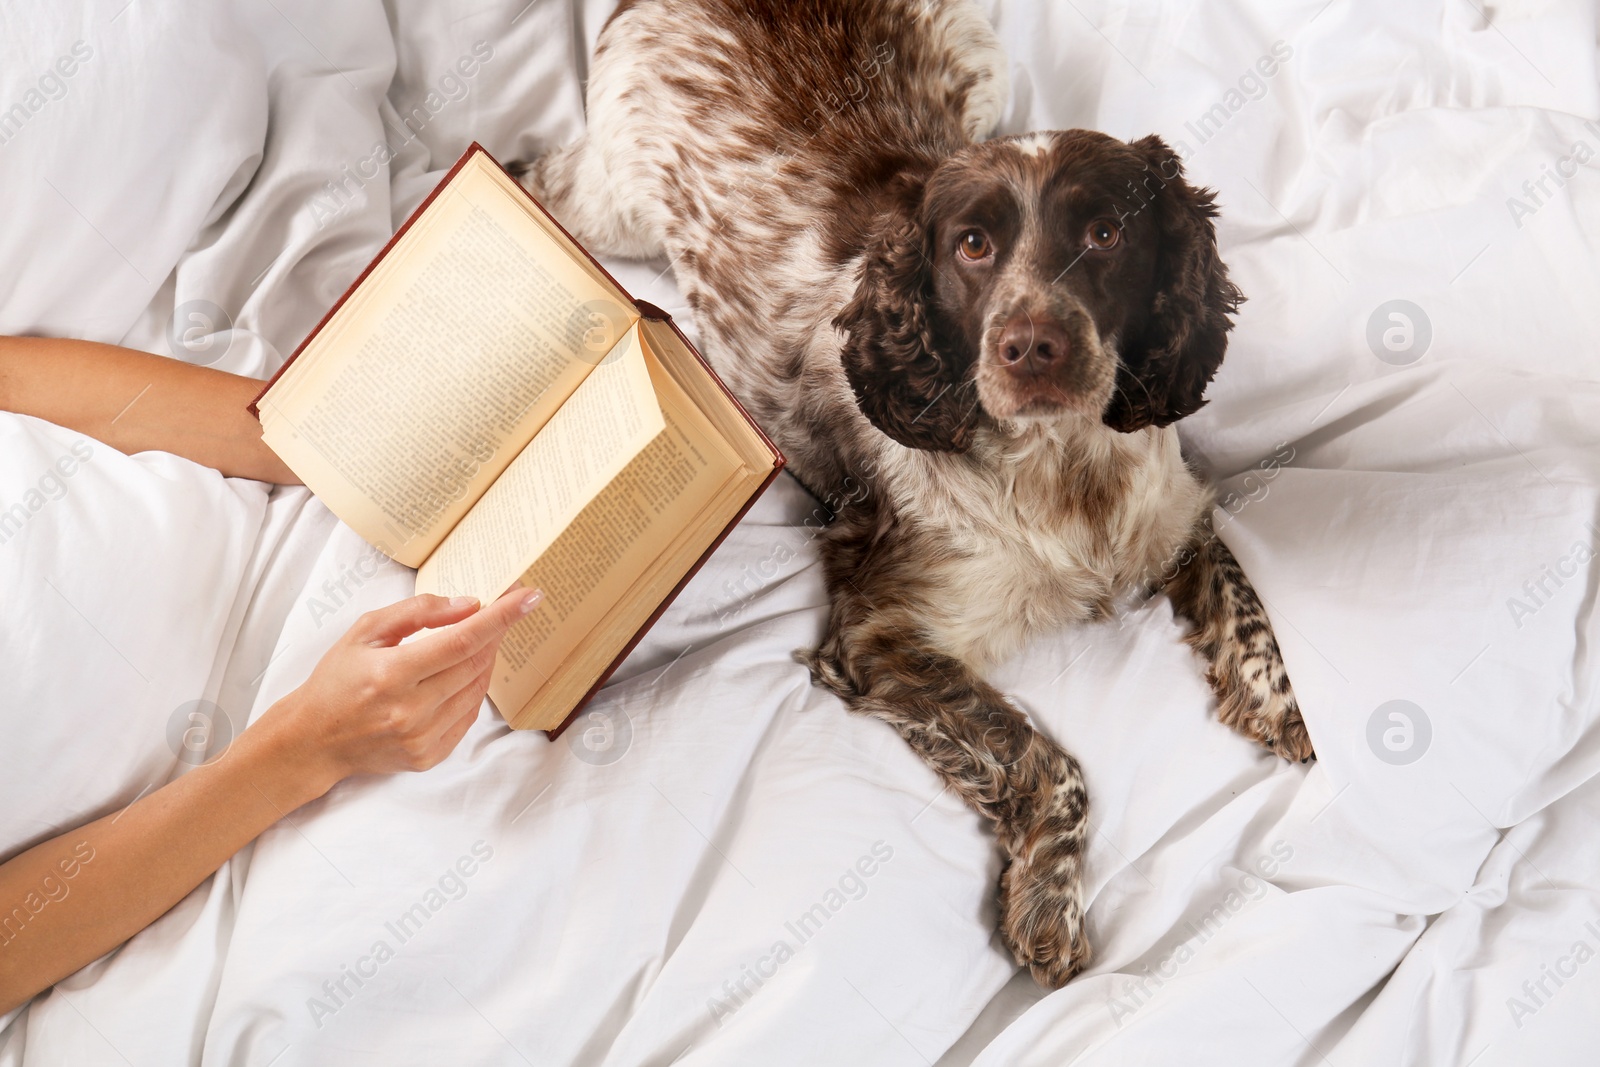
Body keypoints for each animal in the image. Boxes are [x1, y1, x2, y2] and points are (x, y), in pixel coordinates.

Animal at [524, 0, 1312, 985]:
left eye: (1106, 234)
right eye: (972, 245)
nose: (1031, 346)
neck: (1065, 471)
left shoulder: (1175, 517)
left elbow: (1251, 612)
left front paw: (1291, 714)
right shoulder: (883, 634)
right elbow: (1049, 763)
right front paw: (1048, 907)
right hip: (611, 202)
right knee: (542, 172)